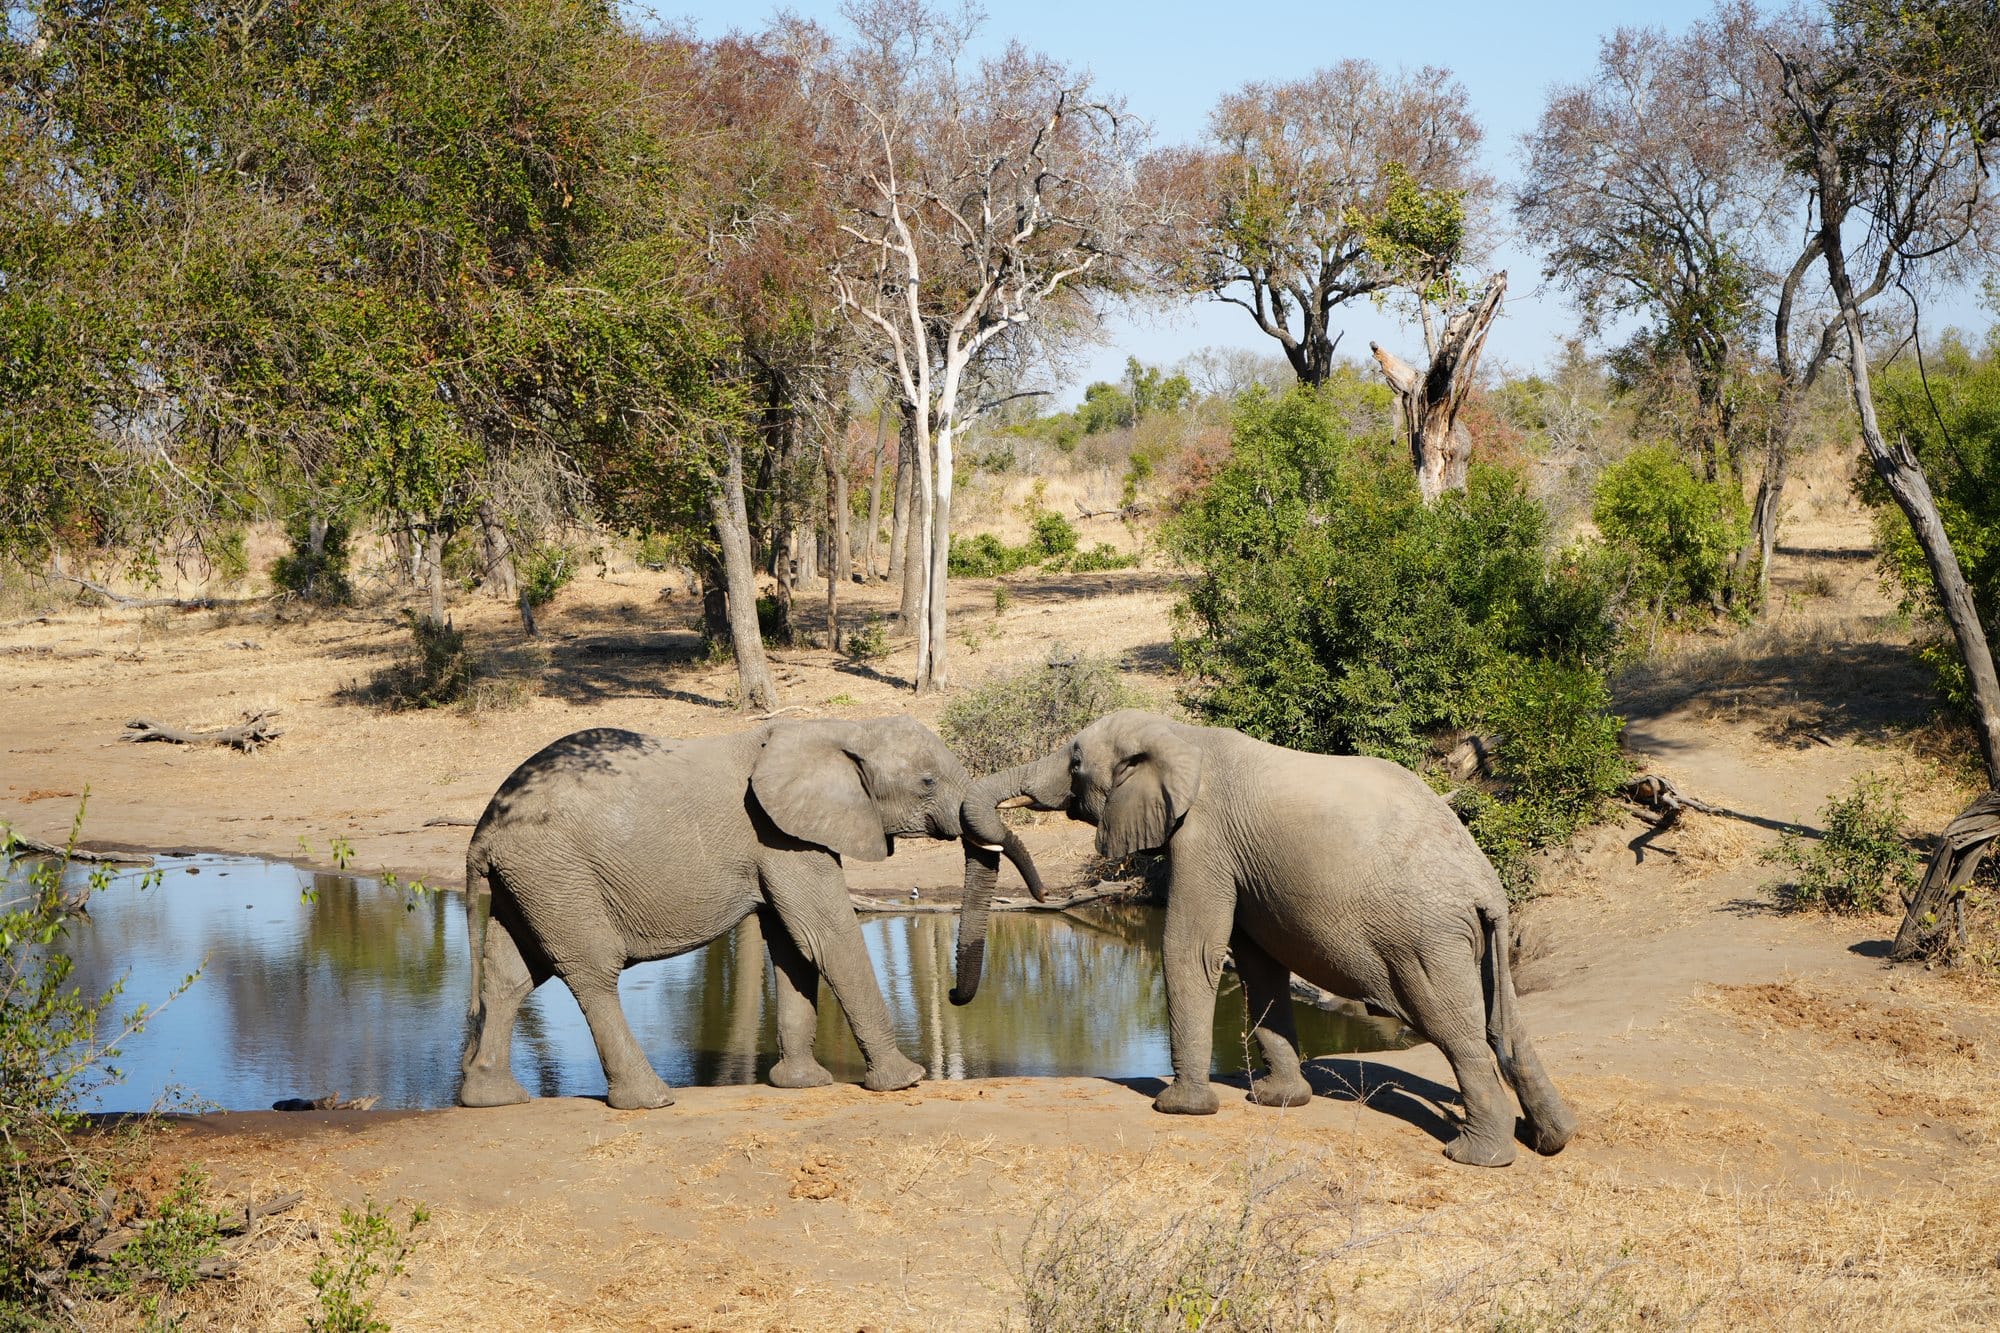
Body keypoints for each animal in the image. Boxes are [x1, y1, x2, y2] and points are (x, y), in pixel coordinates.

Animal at [458, 716, 1042, 1110]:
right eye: (926, 782)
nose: (954, 994)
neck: (839, 729)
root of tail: (483, 828)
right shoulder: (780, 834)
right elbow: (826, 935)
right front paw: (905, 1081)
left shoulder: (786, 836)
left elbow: (792, 945)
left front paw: (802, 1085)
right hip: (557, 871)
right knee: (590, 970)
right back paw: (652, 1099)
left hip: (529, 880)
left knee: (510, 974)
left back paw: (493, 1099)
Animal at [953, 709, 1577, 1167]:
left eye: (1076, 761)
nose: (1042, 893)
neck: (1183, 736)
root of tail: (1486, 888)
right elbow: (1259, 963)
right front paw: (1280, 1101)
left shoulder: (1203, 838)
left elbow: (1193, 949)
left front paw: (1179, 1108)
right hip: (1473, 939)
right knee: (1506, 1027)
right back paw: (1552, 1139)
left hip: (1426, 941)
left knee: (1457, 1032)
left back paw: (1476, 1157)